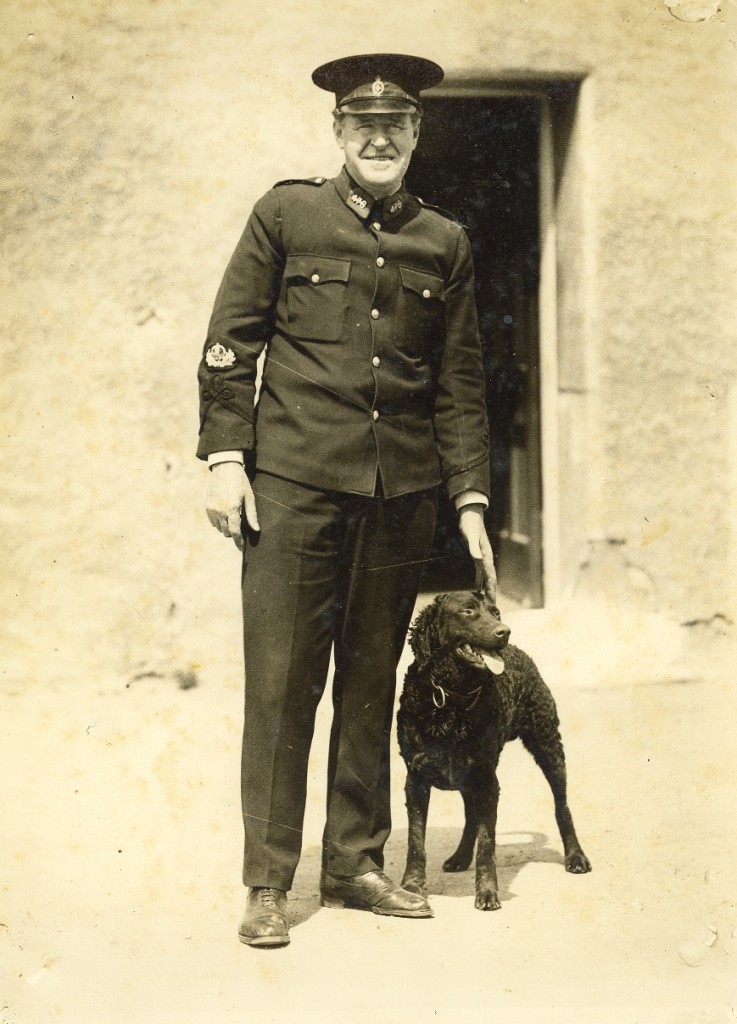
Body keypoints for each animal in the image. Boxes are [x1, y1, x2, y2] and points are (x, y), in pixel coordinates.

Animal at [397, 591, 591, 911]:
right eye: (467, 611)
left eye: (495, 612)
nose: (504, 632)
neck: (451, 700)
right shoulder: (416, 780)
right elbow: (415, 842)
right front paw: (412, 886)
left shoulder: (488, 781)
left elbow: (487, 845)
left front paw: (487, 893)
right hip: (467, 778)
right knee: (471, 817)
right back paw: (460, 857)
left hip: (548, 745)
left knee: (562, 806)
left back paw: (576, 856)